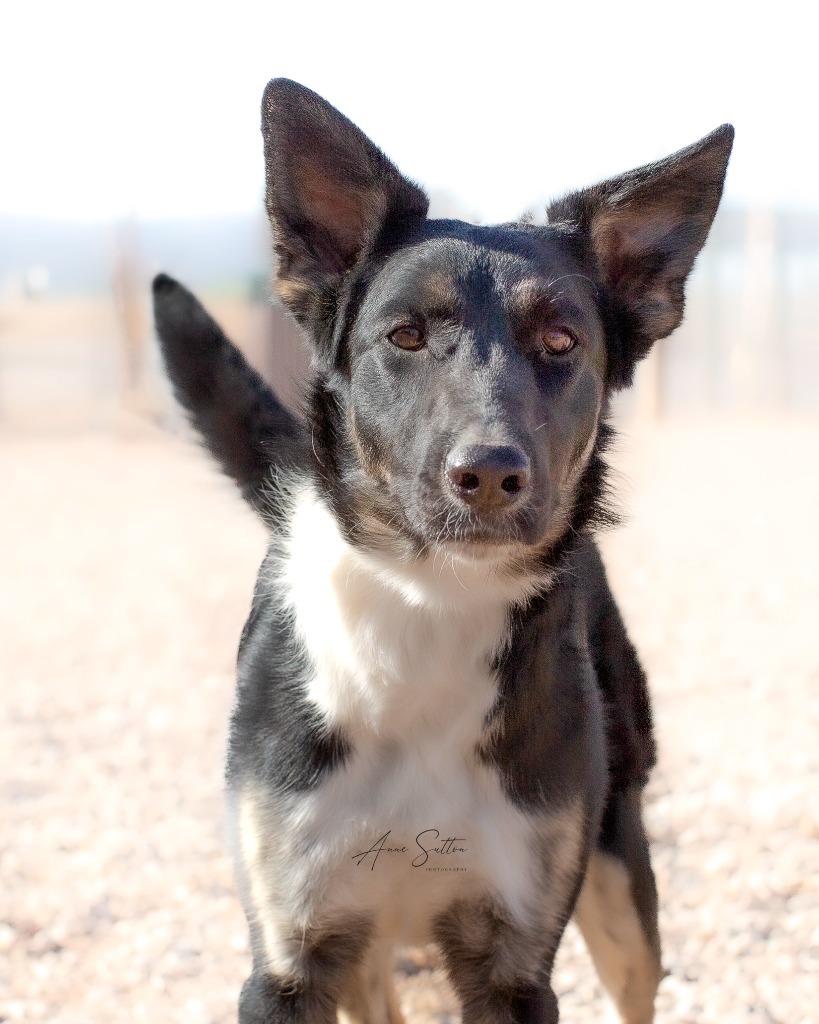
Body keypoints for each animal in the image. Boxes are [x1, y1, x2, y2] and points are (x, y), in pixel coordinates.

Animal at [150, 81, 733, 1024]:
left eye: (560, 341)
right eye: (406, 336)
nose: (489, 473)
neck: (430, 600)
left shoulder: (513, 962)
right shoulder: (291, 956)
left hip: (619, 876)